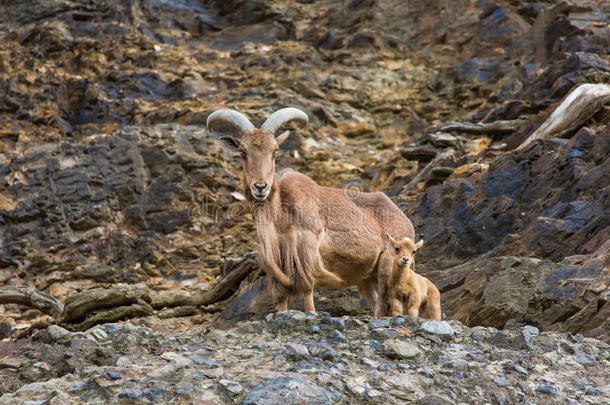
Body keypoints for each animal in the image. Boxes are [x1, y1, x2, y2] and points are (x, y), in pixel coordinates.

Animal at [208, 105, 414, 314]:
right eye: (243, 151)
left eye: (275, 151)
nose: (260, 187)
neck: (281, 214)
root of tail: (404, 220)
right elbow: (281, 298)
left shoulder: (306, 249)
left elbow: (307, 290)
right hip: (366, 278)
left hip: (389, 266)